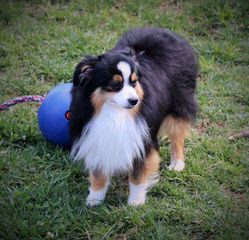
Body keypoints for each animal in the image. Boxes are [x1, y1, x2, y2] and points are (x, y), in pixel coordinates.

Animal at [69, 27, 197, 205]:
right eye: (115, 84)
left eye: (134, 82)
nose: (135, 101)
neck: (114, 112)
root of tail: (162, 32)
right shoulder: (95, 137)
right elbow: (98, 174)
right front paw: (94, 200)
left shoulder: (142, 140)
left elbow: (138, 175)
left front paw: (136, 203)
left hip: (179, 103)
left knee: (177, 134)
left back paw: (177, 164)